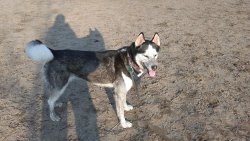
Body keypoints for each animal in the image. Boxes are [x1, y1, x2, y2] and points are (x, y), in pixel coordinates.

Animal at [25, 32, 160, 128]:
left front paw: (126, 107)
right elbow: (120, 112)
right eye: (146, 55)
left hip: (58, 86)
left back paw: (57, 103)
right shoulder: (118, 92)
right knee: (49, 100)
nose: (155, 67)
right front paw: (124, 124)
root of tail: (54, 52)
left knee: (50, 98)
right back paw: (53, 116)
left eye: (155, 55)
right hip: (60, 86)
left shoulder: (121, 91)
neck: (129, 60)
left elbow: (123, 103)